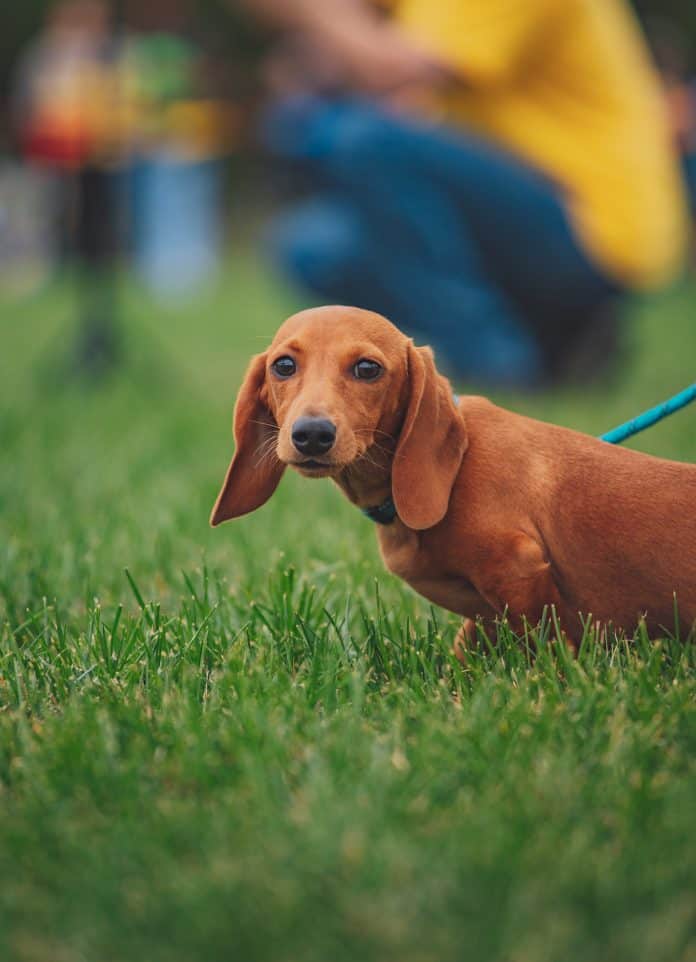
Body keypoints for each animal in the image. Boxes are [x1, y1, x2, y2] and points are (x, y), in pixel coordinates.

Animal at [209, 306, 696, 644]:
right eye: (283, 365)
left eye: (367, 368)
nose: (311, 434)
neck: (453, 472)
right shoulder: (486, 614)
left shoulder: (518, 570)